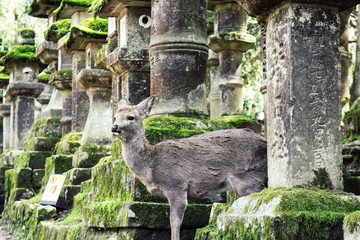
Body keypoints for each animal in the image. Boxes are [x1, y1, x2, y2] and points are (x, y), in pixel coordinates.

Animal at [112, 96, 268, 240]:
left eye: (130, 117)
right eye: (114, 117)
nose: (114, 127)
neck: (151, 167)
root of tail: (265, 141)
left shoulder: (176, 185)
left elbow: (174, 222)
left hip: (250, 179)